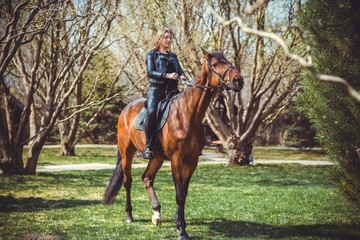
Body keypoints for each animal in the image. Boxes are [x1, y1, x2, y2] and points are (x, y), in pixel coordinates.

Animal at [102, 47, 243, 239]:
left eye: (228, 61)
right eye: (214, 64)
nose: (238, 80)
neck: (187, 114)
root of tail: (126, 109)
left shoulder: (192, 160)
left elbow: (183, 192)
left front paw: (178, 224)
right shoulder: (177, 160)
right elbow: (179, 194)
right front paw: (182, 230)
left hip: (157, 158)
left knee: (147, 178)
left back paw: (157, 214)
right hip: (127, 154)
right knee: (127, 181)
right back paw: (129, 216)